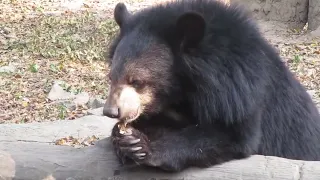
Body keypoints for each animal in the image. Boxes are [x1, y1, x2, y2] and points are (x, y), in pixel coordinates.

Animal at [102, 0, 320, 172]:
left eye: (137, 81)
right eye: (111, 77)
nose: (110, 111)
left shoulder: (240, 92)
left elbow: (232, 134)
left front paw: (144, 148)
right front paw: (125, 139)